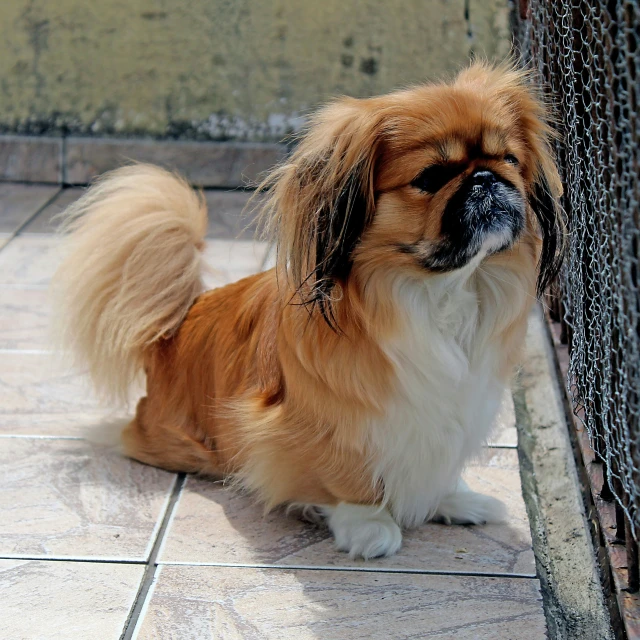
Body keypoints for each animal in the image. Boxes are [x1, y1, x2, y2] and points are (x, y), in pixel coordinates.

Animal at [52, 62, 564, 556]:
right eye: (431, 178)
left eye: (509, 160)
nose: (485, 179)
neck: (443, 288)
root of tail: (177, 325)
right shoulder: (327, 418)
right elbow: (345, 474)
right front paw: (368, 526)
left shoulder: (458, 404)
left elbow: (442, 459)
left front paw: (454, 499)